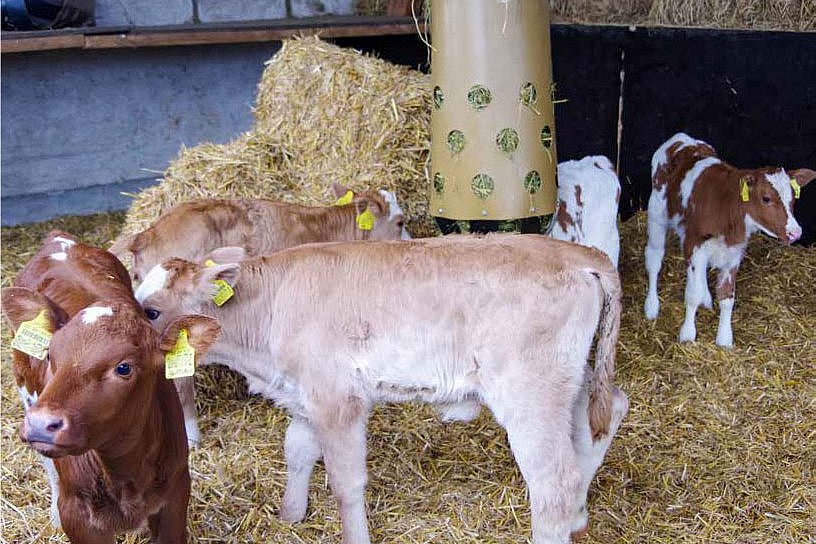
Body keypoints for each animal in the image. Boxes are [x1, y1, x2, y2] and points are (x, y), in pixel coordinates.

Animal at [1, 232, 218, 540]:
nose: (41, 423)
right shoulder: (77, 515)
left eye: (124, 367)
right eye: (50, 356)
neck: (123, 473)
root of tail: (58, 238)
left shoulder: (176, 492)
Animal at [137, 236, 628, 544]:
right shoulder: (305, 394)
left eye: (151, 311)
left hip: (529, 390)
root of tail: (579, 253)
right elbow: (296, 450)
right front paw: (290, 515)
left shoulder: (338, 400)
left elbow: (346, 483)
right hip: (573, 376)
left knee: (554, 482)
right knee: (607, 413)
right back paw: (579, 516)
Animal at [648, 132, 812, 346]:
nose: (795, 232)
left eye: (793, 198)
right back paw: (651, 306)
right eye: (766, 198)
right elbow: (692, 294)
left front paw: (724, 339)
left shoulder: (733, 252)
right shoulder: (694, 243)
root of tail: (681, 138)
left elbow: (727, 297)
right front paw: (687, 334)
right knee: (654, 260)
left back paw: (706, 298)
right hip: (656, 215)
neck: (726, 210)